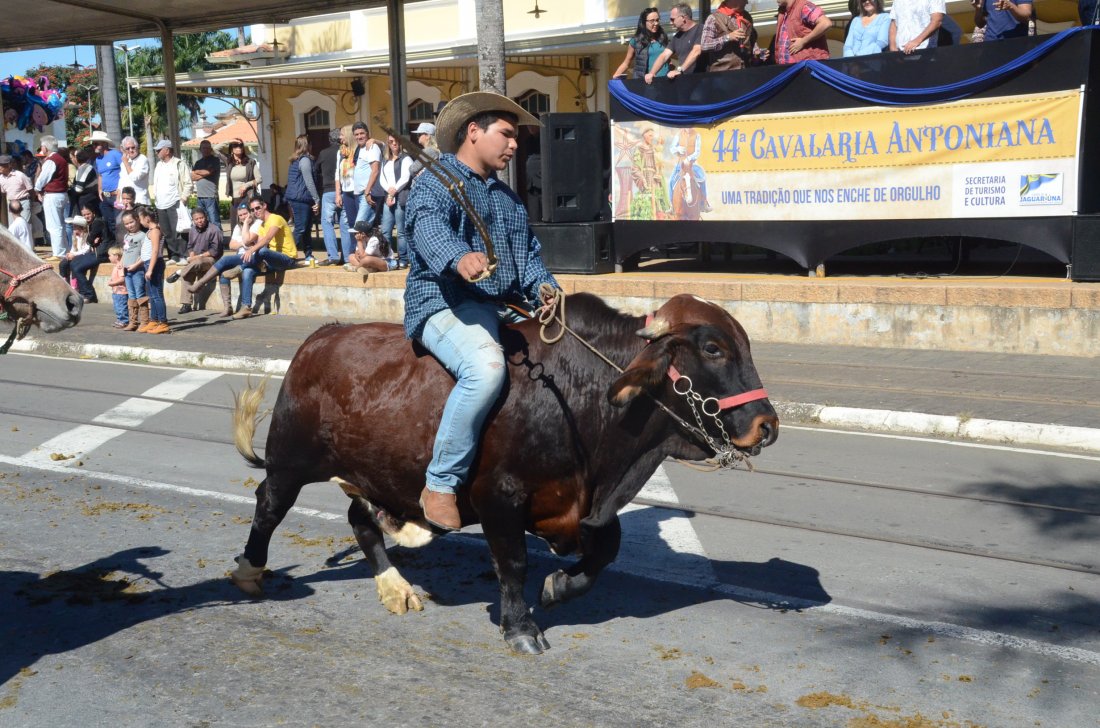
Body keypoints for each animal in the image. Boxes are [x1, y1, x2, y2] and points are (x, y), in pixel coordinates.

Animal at [230, 292, 778, 654]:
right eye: (712, 349)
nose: (766, 425)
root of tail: (324, 334)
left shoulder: (579, 507)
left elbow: (607, 547)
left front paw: (559, 588)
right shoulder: (498, 498)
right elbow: (513, 562)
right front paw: (520, 628)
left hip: (374, 474)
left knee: (360, 520)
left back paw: (396, 588)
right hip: (290, 461)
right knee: (269, 505)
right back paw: (249, 573)